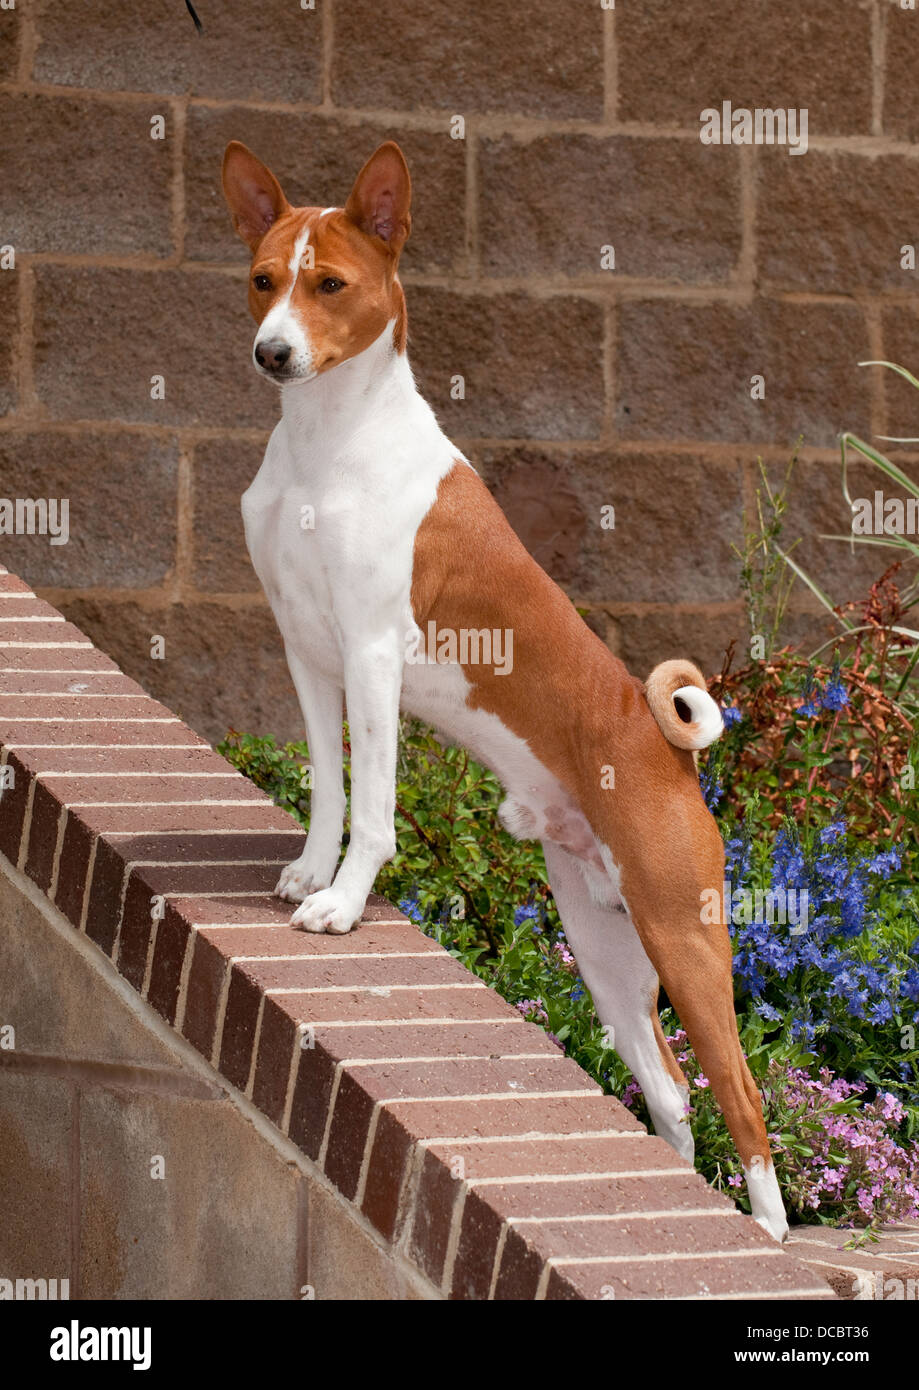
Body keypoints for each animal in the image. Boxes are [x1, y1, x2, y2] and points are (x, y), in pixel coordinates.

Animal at [222, 141, 789, 1245]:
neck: (324, 447)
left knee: (745, 1106)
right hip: (607, 951)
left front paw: (344, 903)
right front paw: (310, 873)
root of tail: (669, 751)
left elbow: (375, 811)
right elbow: (327, 792)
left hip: (687, 943)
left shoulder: (371, 654)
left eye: (329, 286)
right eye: (264, 281)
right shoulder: (308, 652)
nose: (273, 354)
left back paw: (769, 1236)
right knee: (672, 1097)